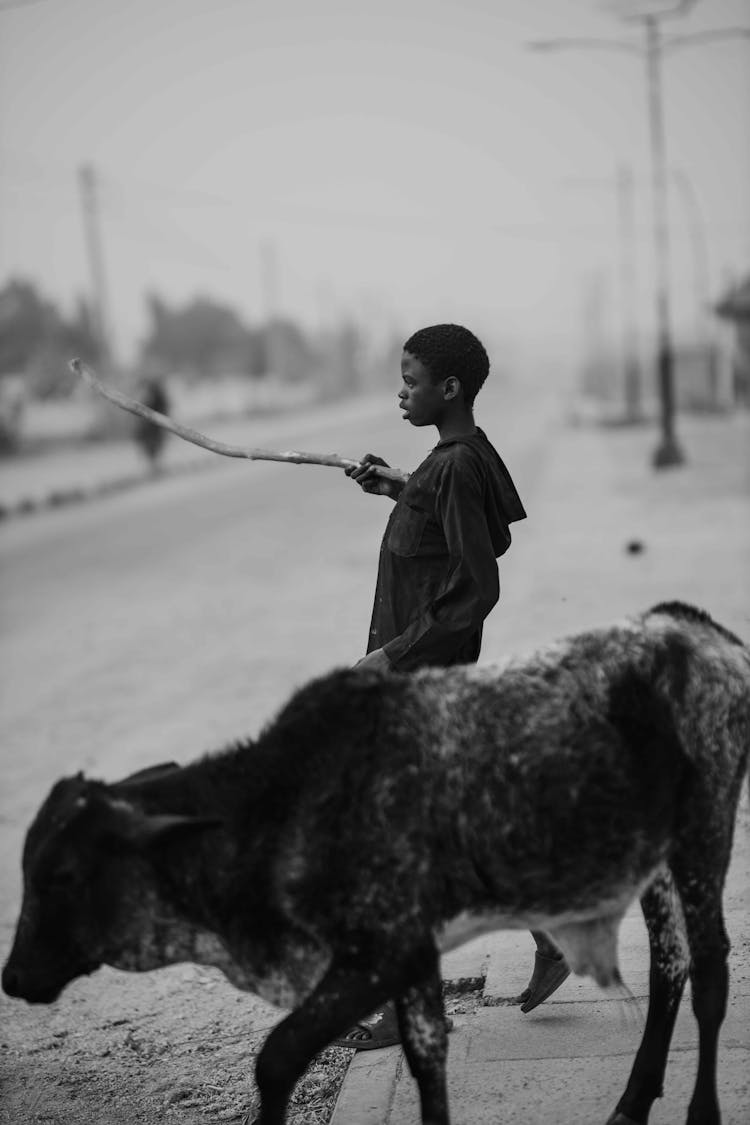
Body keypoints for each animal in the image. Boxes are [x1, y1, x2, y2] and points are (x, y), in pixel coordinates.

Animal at [5, 607, 750, 1125]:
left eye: (62, 875)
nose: (12, 977)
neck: (280, 804)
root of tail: (702, 631)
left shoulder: (378, 953)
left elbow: (277, 1057)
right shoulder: (413, 954)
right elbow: (427, 1057)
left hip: (704, 830)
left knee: (711, 964)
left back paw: (698, 1111)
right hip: (655, 859)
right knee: (671, 964)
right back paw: (631, 1100)